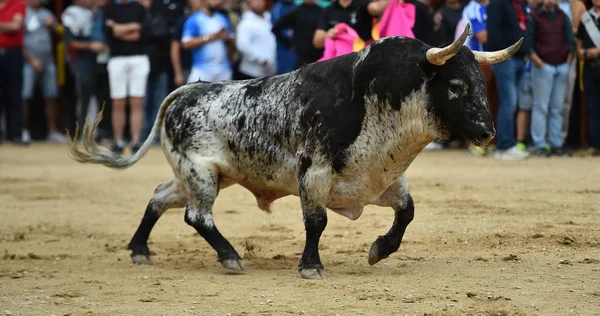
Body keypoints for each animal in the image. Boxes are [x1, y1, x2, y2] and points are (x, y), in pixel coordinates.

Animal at [68, 25, 524, 280]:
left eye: (480, 83)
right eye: (456, 86)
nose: (487, 132)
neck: (374, 98)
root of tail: (187, 91)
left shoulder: (384, 180)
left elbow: (407, 214)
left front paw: (378, 250)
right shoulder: (314, 175)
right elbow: (316, 222)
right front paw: (311, 266)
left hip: (199, 177)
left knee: (160, 197)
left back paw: (140, 250)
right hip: (200, 175)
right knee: (196, 216)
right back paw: (230, 257)